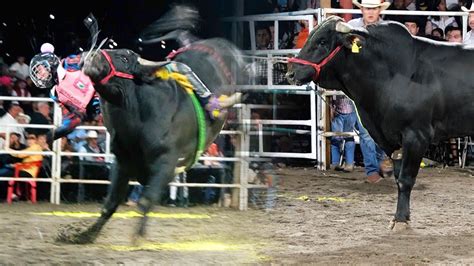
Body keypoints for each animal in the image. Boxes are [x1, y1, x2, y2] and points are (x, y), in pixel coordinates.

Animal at [57, 39, 246, 243]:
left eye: (124, 58)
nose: (91, 55)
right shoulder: (122, 162)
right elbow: (111, 203)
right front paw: (85, 235)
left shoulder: (166, 163)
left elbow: (147, 199)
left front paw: (138, 237)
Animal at [286, 16, 474, 229]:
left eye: (323, 42)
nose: (291, 73)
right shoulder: (391, 140)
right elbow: (398, 177)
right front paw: (402, 217)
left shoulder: (417, 135)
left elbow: (406, 179)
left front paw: (400, 220)